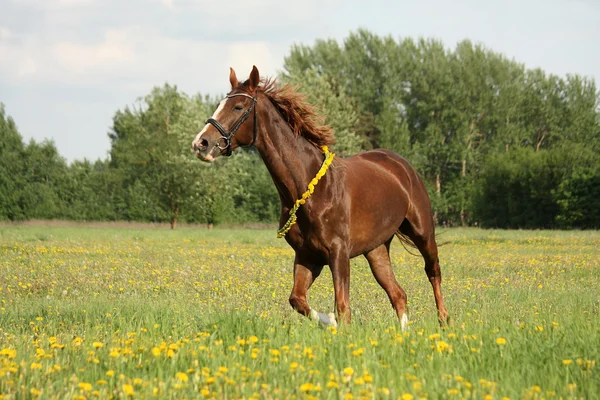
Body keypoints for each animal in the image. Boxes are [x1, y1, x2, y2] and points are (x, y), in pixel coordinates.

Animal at [192, 65, 450, 328]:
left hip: (422, 233)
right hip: (376, 249)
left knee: (433, 272)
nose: (201, 143)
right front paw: (330, 322)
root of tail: (402, 166)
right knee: (398, 294)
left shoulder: (339, 253)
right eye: (220, 103)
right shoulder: (308, 257)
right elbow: (298, 300)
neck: (310, 188)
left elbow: (343, 307)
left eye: (238, 107)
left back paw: (444, 321)